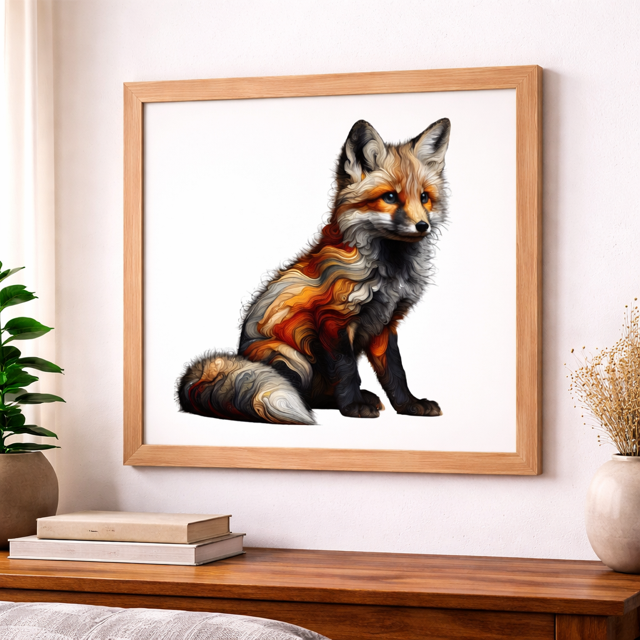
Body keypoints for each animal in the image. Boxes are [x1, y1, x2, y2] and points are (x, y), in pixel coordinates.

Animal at [177, 117, 451, 425]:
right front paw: (354, 407)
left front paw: (409, 405)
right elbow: (347, 371)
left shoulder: (385, 324)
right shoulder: (332, 320)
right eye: (390, 197)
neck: (390, 273)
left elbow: (395, 373)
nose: (422, 225)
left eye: (424, 197)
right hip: (291, 357)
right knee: (306, 395)